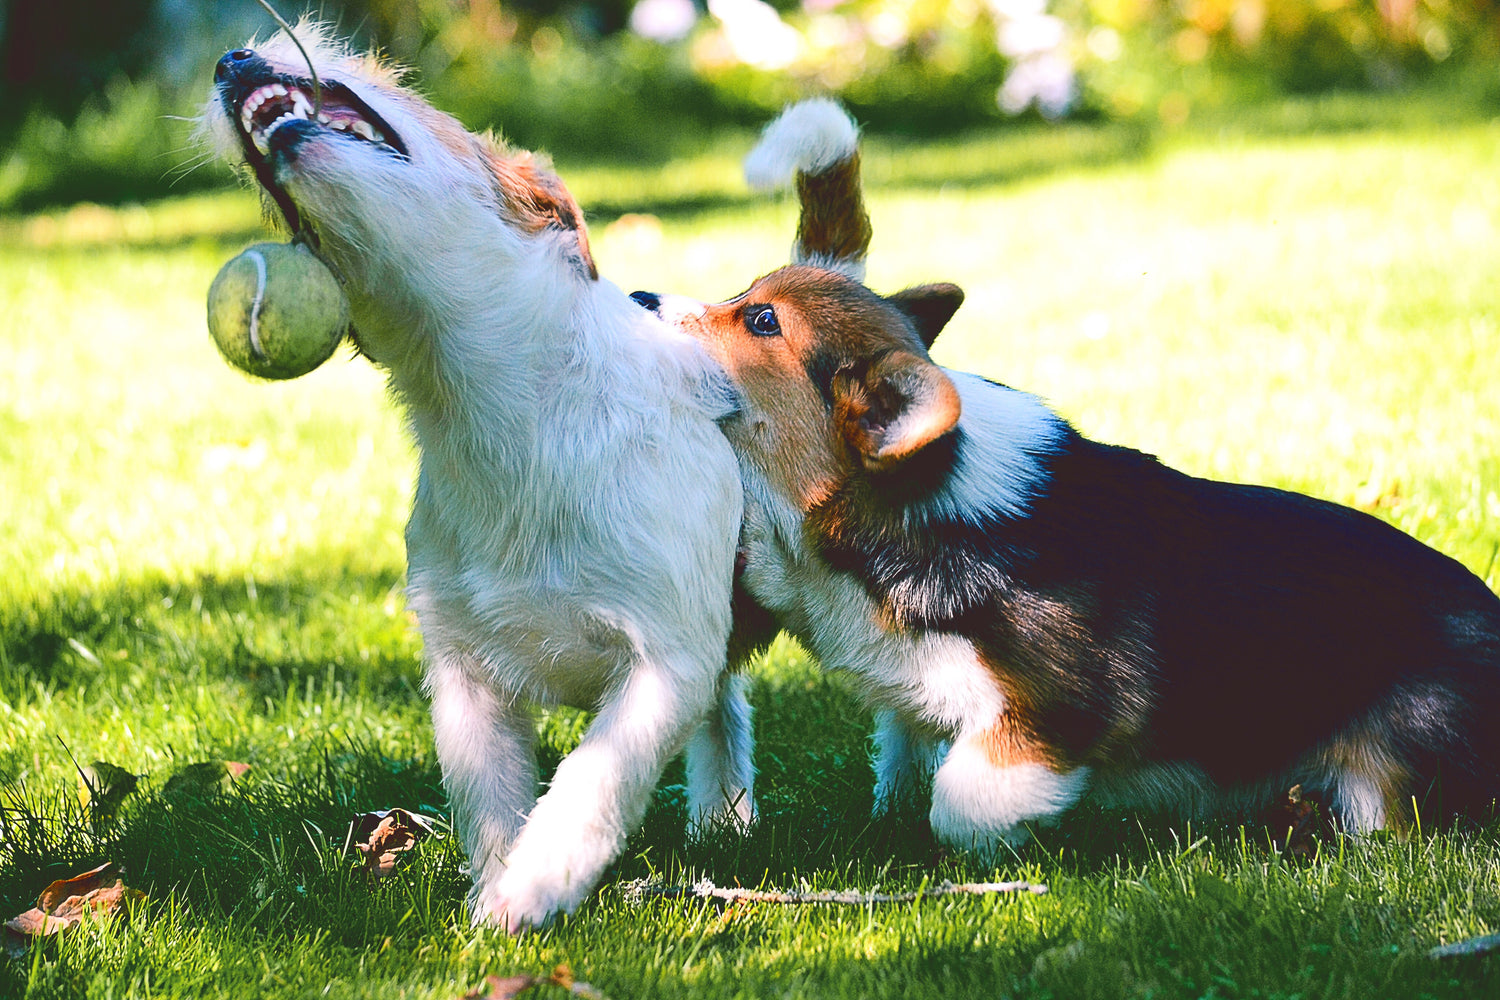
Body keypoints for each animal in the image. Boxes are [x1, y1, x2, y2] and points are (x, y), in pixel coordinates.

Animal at [205, 25, 756, 929]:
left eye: (390, 78)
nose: (228, 61)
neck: (503, 412)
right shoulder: (465, 683)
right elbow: (493, 805)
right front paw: (495, 897)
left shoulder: (666, 664)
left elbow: (593, 780)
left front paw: (535, 886)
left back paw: (725, 816)